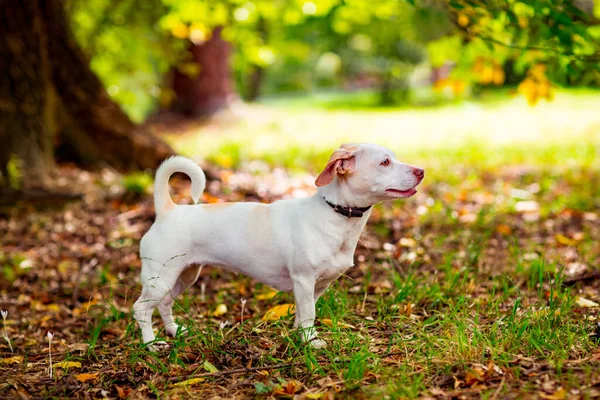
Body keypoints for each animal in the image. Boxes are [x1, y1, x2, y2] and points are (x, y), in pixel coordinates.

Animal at [132, 142, 422, 348]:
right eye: (385, 162)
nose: (421, 171)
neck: (335, 215)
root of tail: (167, 210)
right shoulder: (304, 280)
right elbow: (309, 314)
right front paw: (311, 342)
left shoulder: (316, 287)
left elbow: (304, 313)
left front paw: (299, 336)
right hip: (160, 278)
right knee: (141, 309)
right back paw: (152, 344)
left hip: (183, 276)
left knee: (164, 305)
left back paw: (174, 330)